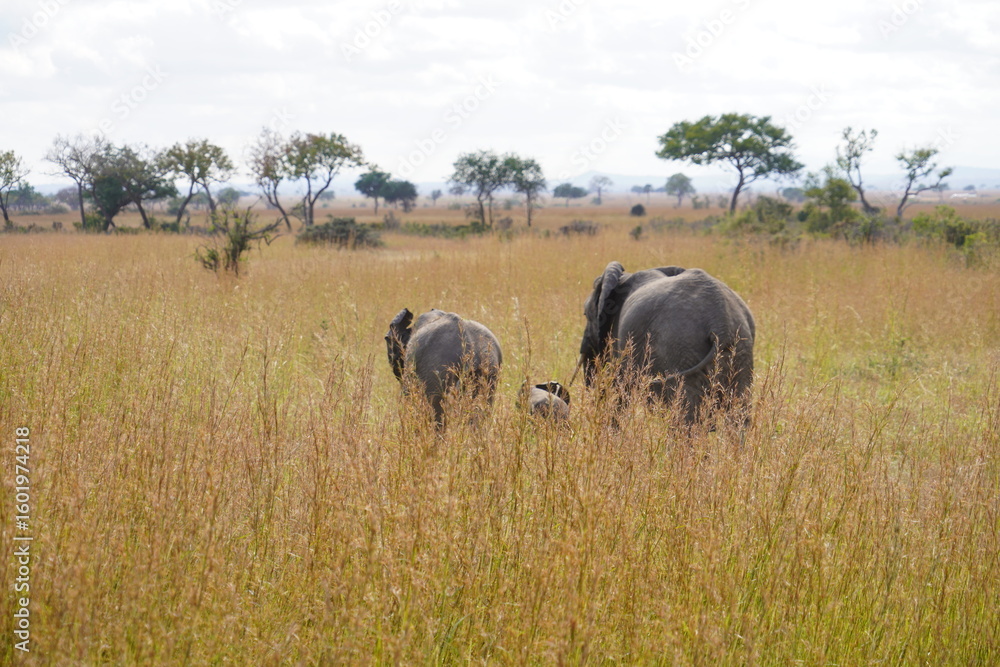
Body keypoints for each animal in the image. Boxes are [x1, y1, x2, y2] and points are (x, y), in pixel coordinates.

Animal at [579, 262, 755, 424]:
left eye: (585, 314)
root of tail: (721, 322)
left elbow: (620, 389)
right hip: (740, 351)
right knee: (739, 413)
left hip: (680, 348)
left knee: (684, 416)